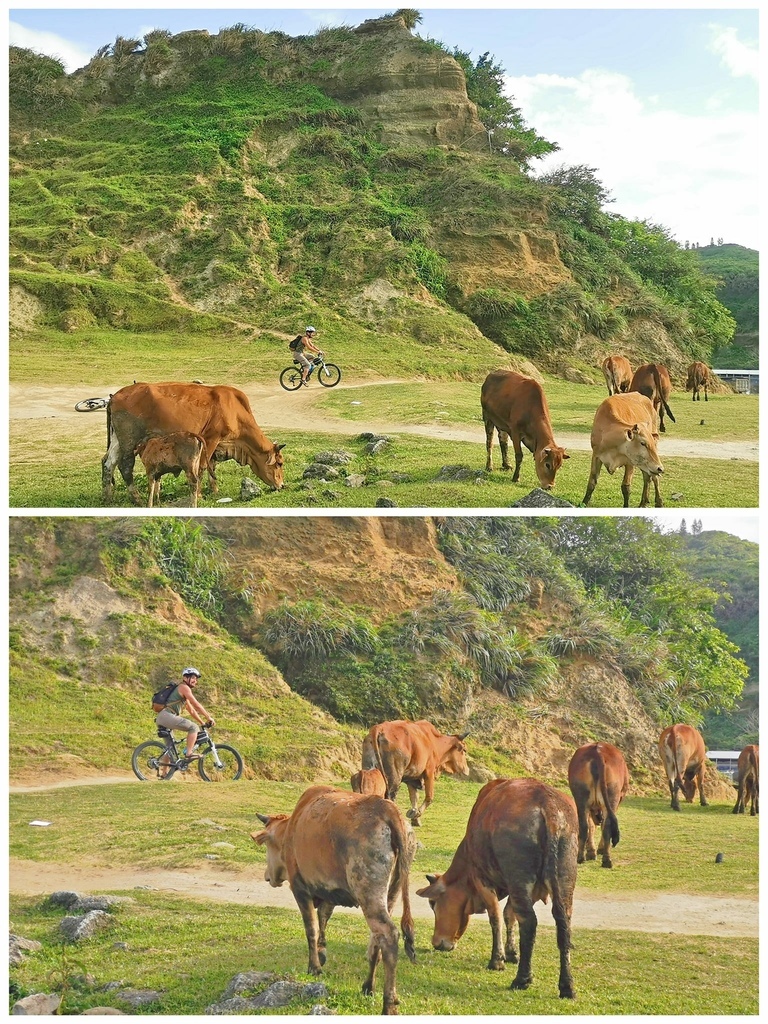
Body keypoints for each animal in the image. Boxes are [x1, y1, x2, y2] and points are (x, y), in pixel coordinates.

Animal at [100, 380, 284, 503]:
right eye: (279, 463)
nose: (282, 485)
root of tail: (114, 396)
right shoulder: (210, 438)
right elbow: (202, 467)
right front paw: (200, 494)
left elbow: (212, 468)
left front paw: (214, 490)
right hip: (129, 440)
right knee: (125, 466)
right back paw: (136, 498)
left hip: (117, 440)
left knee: (108, 463)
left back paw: (108, 496)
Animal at [253, 782, 417, 1015]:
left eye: (268, 845)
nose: (268, 876)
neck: (293, 826)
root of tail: (387, 808)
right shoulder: (328, 891)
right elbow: (323, 917)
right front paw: (322, 952)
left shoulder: (300, 888)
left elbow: (311, 928)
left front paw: (314, 967)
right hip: (391, 890)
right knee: (377, 937)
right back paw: (368, 986)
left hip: (368, 889)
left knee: (388, 934)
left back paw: (388, 1004)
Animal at [417, 778, 581, 995]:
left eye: (433, 904)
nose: (436, 942)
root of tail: (549, 805)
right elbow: (509, 914)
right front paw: (511, 953)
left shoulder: (482, 879)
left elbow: (495, 917)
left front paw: (497, 960)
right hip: (564, 879)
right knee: (563, 923)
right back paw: (567, 985)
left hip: (519, 877)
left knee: (529, 921)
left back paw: (522, 979)